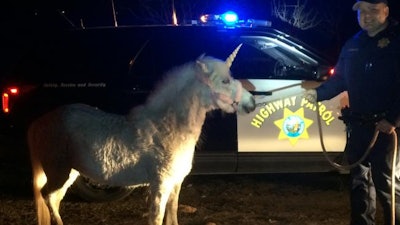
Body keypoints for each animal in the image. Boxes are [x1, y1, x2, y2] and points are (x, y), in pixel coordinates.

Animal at [28, 44, 256, 225]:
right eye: (225, 81)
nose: (251, 103)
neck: (167, 127)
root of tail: (39, 122)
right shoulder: (160, 186)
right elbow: (157, 219)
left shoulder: (176, 184)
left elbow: (172, 217)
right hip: (59, 172)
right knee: (47, 196)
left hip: (70, 173)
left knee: (54, 199)